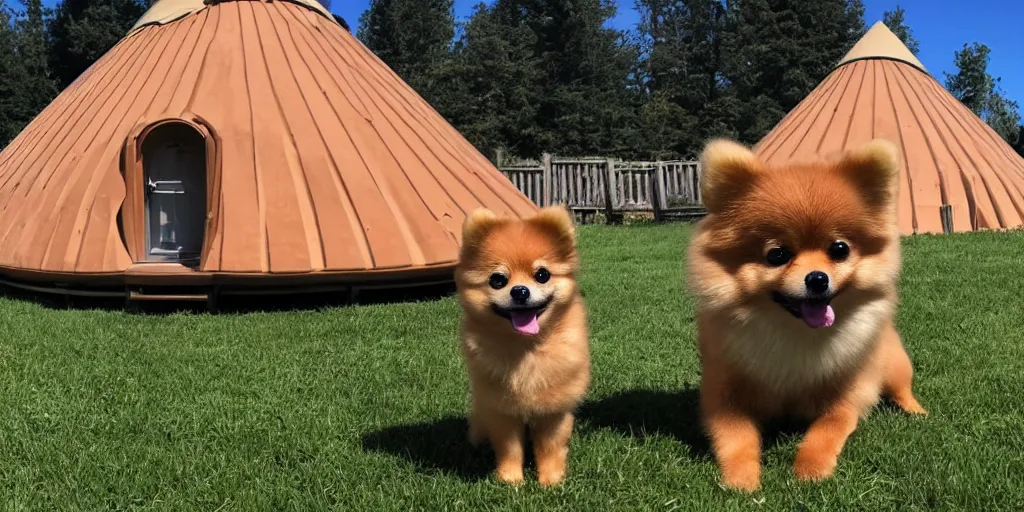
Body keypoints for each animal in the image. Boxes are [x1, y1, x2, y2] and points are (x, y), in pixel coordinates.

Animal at [456, 204, 593, 487]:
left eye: (542, 275)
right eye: (497, 280)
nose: (519, 291)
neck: (526, 348)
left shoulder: (553, 412)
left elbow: (549, 447)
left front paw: (551, 481)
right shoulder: (502, 411)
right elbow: (510, 449)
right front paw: (510, 481)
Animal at [688, 139, 929, 491]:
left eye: (839, 249)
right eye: (777, 255)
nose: (817, 278)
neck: (795, 331)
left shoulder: (849, 391)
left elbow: (828, 428)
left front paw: (810, 468)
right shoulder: (724, 391)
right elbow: (735, 436)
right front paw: (741, 478)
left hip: (895, 365)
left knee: (902, 390)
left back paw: (917, 411)